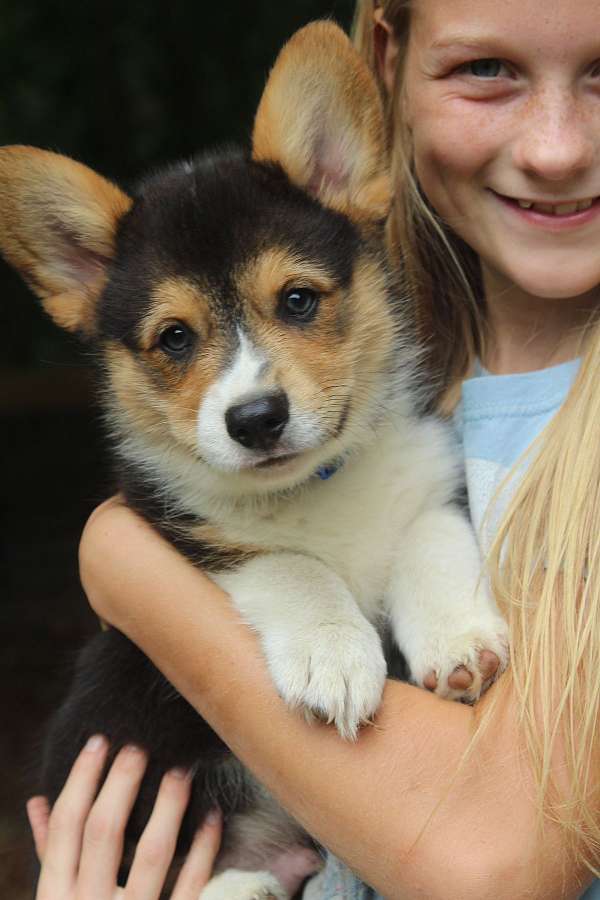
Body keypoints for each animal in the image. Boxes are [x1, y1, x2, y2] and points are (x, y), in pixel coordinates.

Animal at [0, 19, 506, 900]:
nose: (256, 419)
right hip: (123, 723)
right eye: (174, 338)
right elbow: (288, 564)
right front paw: (335, 655)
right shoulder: (178, 531)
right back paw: (242, 882)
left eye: (298, 299)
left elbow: (429, 541)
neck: (316, 486)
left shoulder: (434, 484)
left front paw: (458, 643)